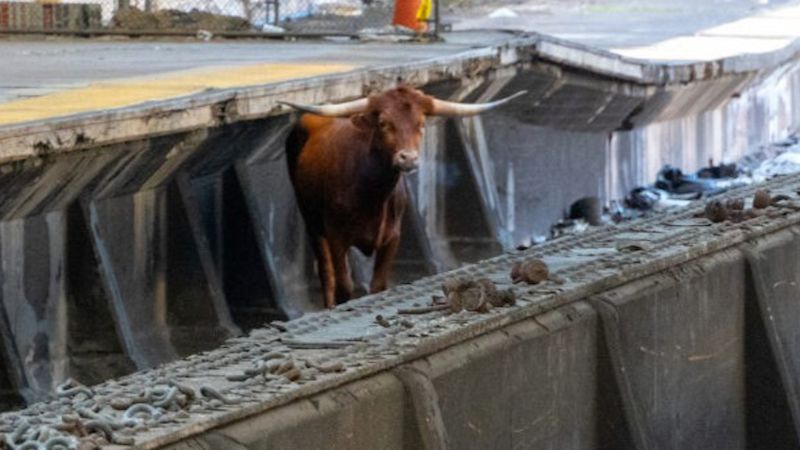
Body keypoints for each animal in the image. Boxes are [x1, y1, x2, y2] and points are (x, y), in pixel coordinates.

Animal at [282, 85, 524, 308]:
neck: (370, 195)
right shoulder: (336, 236)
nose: (408, 158)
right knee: (326, 274)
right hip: (312, 223)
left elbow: (378, 285)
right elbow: (344, 286)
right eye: (384, 123)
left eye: (421, 124)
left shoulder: (392, 237)